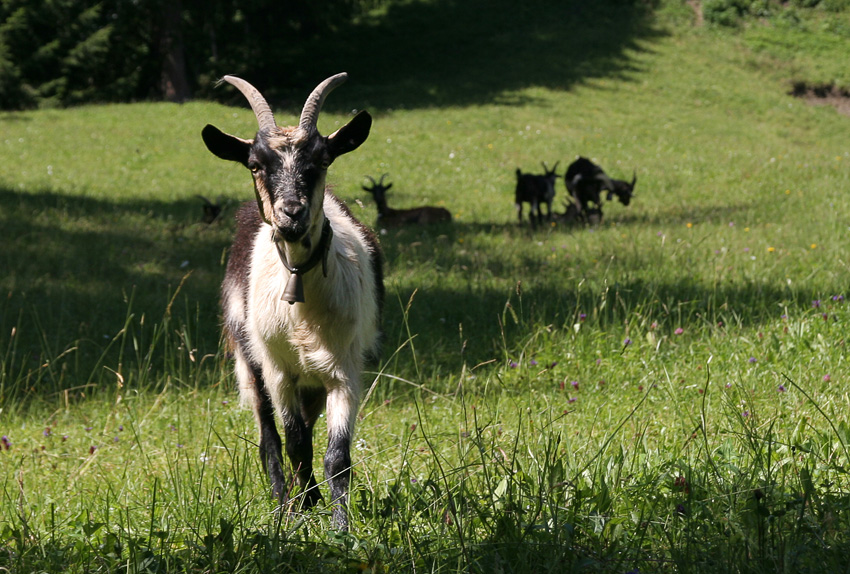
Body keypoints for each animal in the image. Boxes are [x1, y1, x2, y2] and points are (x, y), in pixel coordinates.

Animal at [202, 74, 380, 532]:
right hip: (249, 360)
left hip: (313, 381)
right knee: (270, 438)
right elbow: (294, 442)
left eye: (321, 160)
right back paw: (285, 502)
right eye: (255, 164)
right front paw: (297, 515)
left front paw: (340, 527)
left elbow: (336, 456)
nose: (292, 212)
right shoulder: (278, 369)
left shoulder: (343, 369)